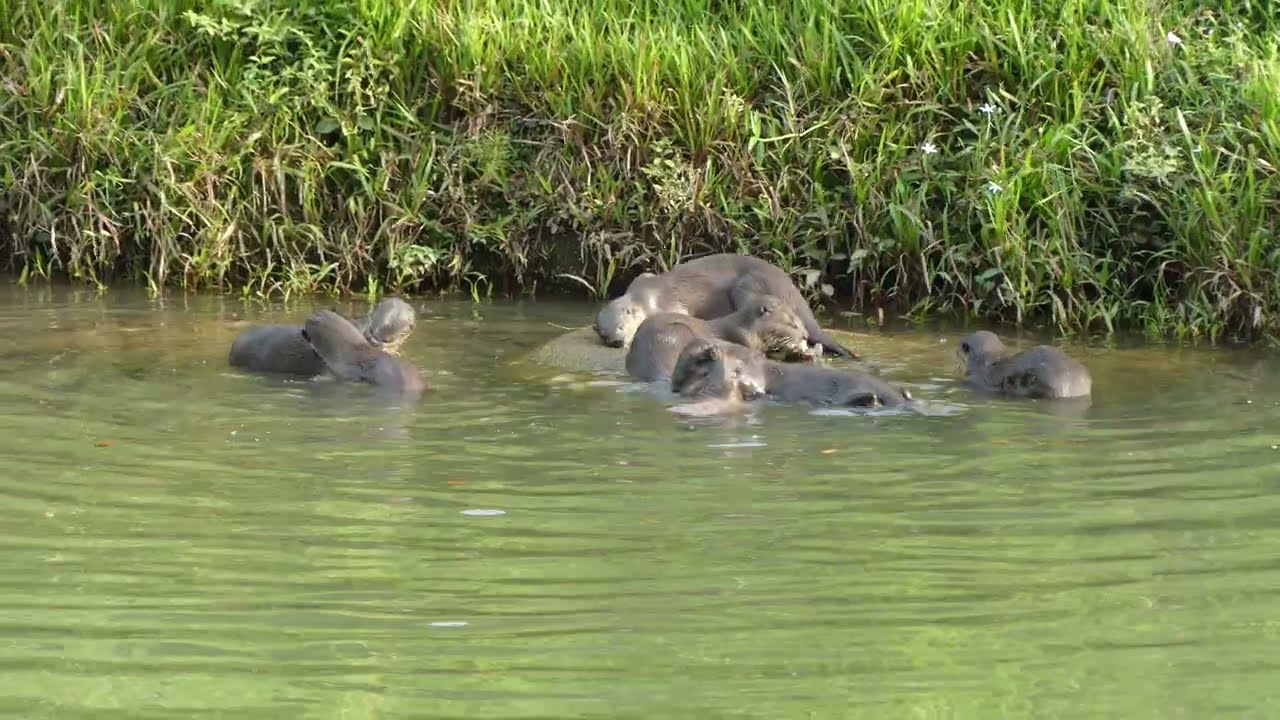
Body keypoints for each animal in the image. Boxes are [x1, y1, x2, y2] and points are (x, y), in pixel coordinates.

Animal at [592, 253, 857, 358]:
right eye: (603, 333)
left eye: (621, 326)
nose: (616, 341)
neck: (646, 297)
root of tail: (791, 289)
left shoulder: (672, 306)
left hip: (747, 285)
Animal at [624, 295, 814, 383]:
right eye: (793, 324)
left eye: (801, 322)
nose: (806, 335)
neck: (746, 329)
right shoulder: (742, 339)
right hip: (678, 331)